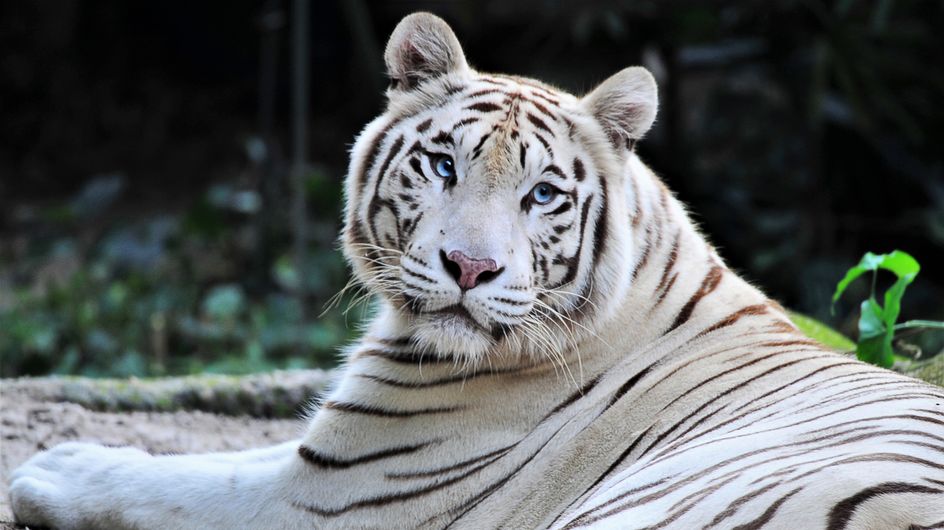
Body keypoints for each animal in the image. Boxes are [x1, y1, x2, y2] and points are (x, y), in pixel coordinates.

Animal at [9, 12, 944, 528]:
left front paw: (53, 466)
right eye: (444, 166)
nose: (469, 266)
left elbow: (176, 484)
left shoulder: (331, 497)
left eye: (542, 195)